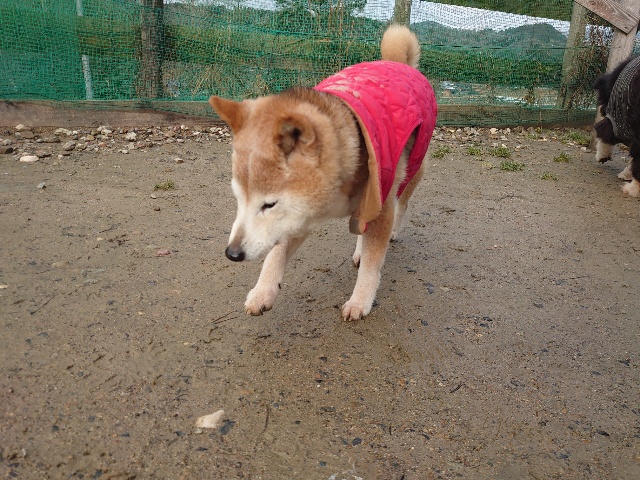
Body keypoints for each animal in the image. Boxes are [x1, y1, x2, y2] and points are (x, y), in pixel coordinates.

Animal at [209, 24, 437, 321]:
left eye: (269, 204)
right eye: (238, 199)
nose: (232, 253)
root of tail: (397, 62)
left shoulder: (380, 200)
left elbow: (373, 262)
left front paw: (360, 300)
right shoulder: (297, 216)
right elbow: (275, 254)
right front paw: (263, 291)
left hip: (412, 167)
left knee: (402, 203)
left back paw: (391, 233)